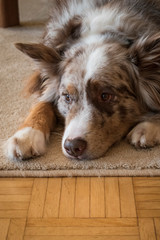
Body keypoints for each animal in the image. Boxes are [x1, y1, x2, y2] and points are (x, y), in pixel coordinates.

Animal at [4, 0, 160, 161]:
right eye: (67, 97)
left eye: (105, 96)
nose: (72, 147)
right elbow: (42, 103)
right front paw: (26, 135)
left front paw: (148, 126)